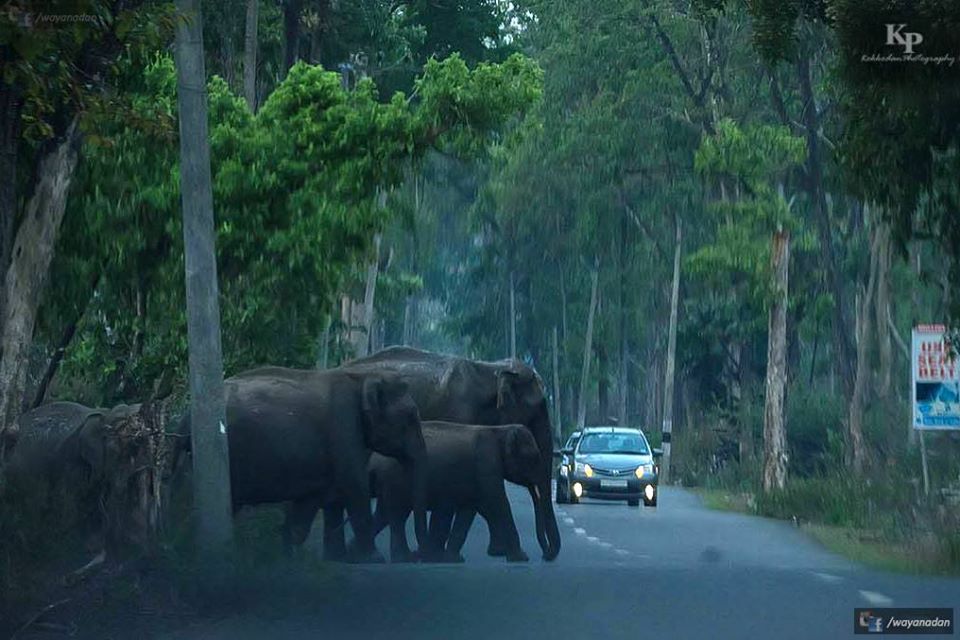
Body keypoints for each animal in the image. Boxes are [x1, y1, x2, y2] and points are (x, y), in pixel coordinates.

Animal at [212, 368, 430, 564]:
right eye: (411, 416)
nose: (418, 556)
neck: (363, 377)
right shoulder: (345, 428)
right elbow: (354, 486)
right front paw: (374, 559)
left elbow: (320, 498)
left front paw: (301, 558)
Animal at [372, 422, 544, 564]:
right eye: (533, 457)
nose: (546, 556)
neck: (500, 430)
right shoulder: (486, 462)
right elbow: (498, 502)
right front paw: (521, 558)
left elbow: (470, 509)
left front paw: (453, 559)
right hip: (395, 480)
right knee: (397, 516)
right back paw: (404, 559)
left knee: (384, 516)